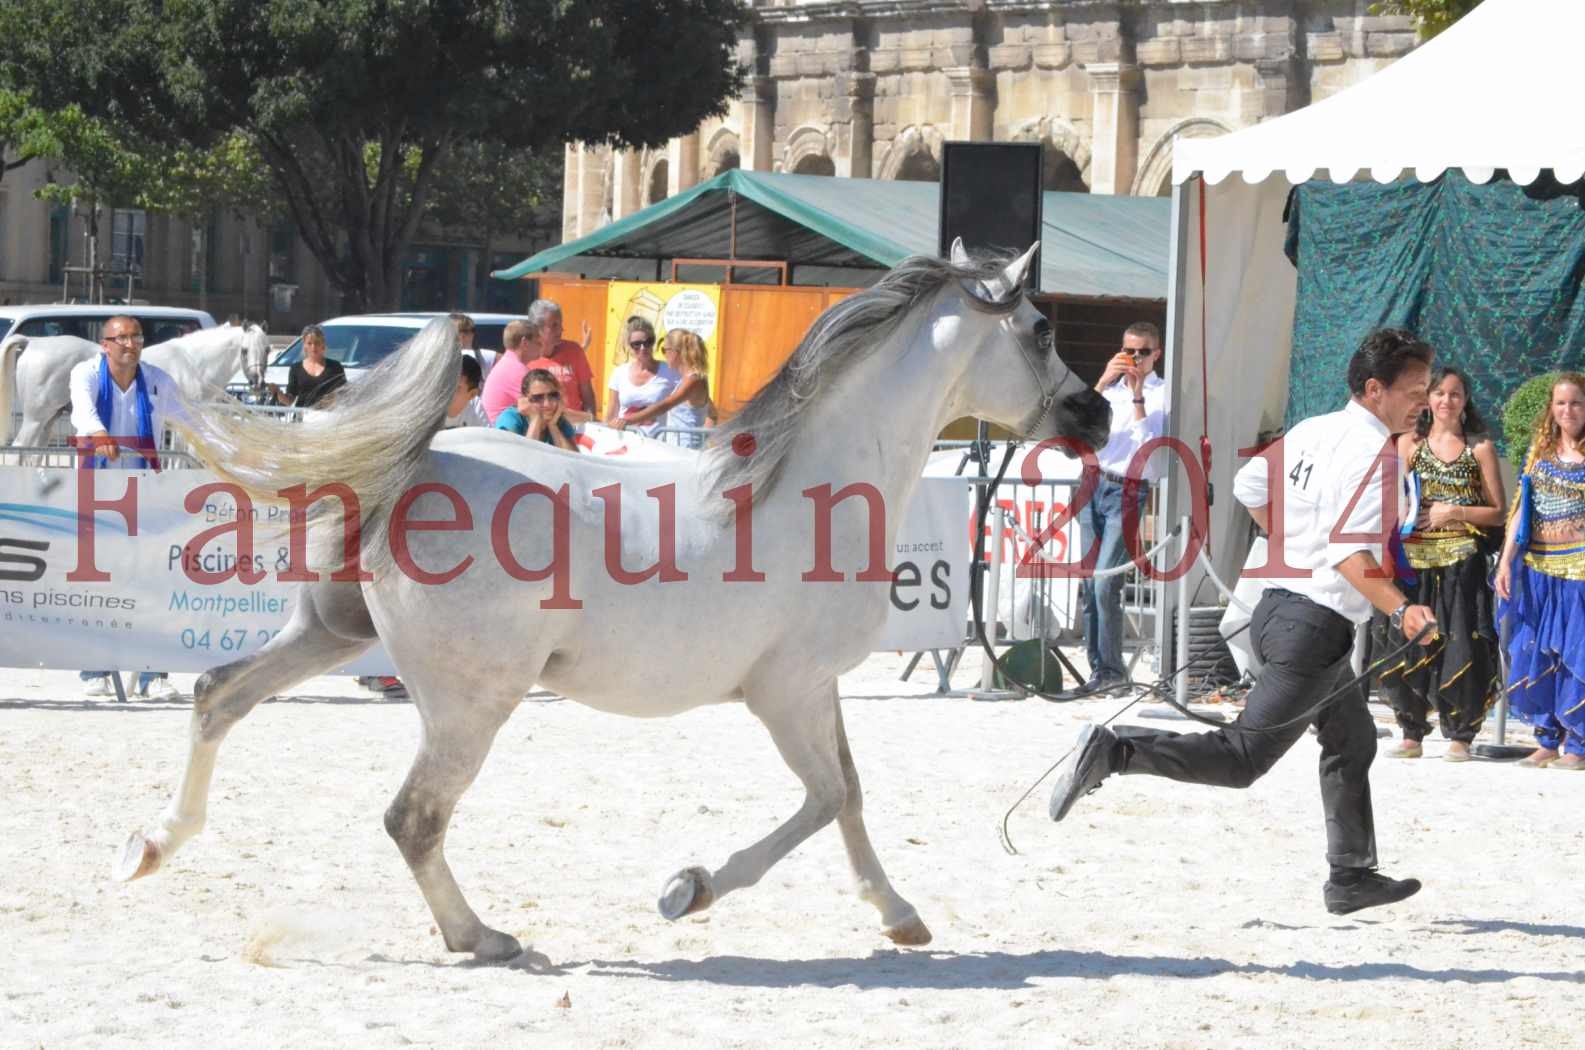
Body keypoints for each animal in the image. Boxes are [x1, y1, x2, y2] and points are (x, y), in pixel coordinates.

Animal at [117, 244, 1109, 964]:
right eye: (1038, 328)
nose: (1093, 417)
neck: (814, 489)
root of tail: (411, 470)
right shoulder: (783, 692)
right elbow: (824, 798)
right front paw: (688, 890)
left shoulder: (816, 687)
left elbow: (852, 796)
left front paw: (898, 915)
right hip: (469, 702)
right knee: (412, 818)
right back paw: (483, 938)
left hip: (330, 633)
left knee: (217, 695)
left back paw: (152, 845)